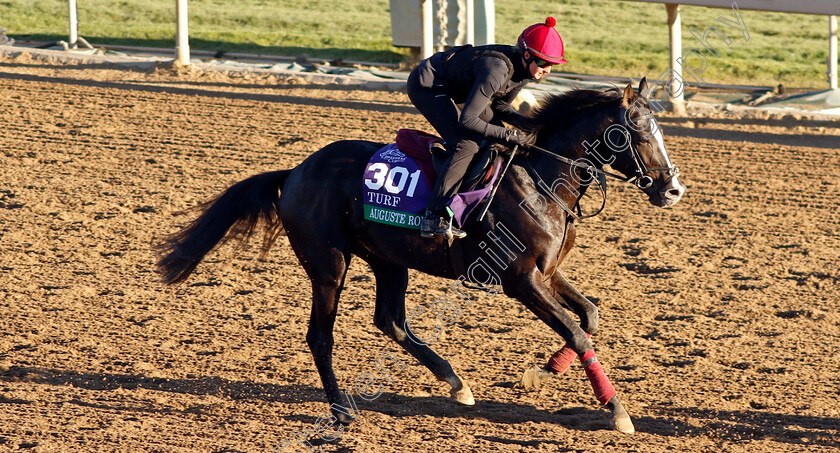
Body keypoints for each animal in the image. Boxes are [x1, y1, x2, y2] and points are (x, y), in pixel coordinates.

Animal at [154, 78, 684, 434]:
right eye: (638, 132)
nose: (673, 188)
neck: (540, 181)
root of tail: (296, 172)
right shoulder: (519, 279)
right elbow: (575, 329)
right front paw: (617, 411)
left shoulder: (547, 271)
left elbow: (588, 316)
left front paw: (542, 373)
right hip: (328, 264)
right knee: (321, 336)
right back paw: (341, 411)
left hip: (388, 259)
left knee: (390, 320)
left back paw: (455, 382)